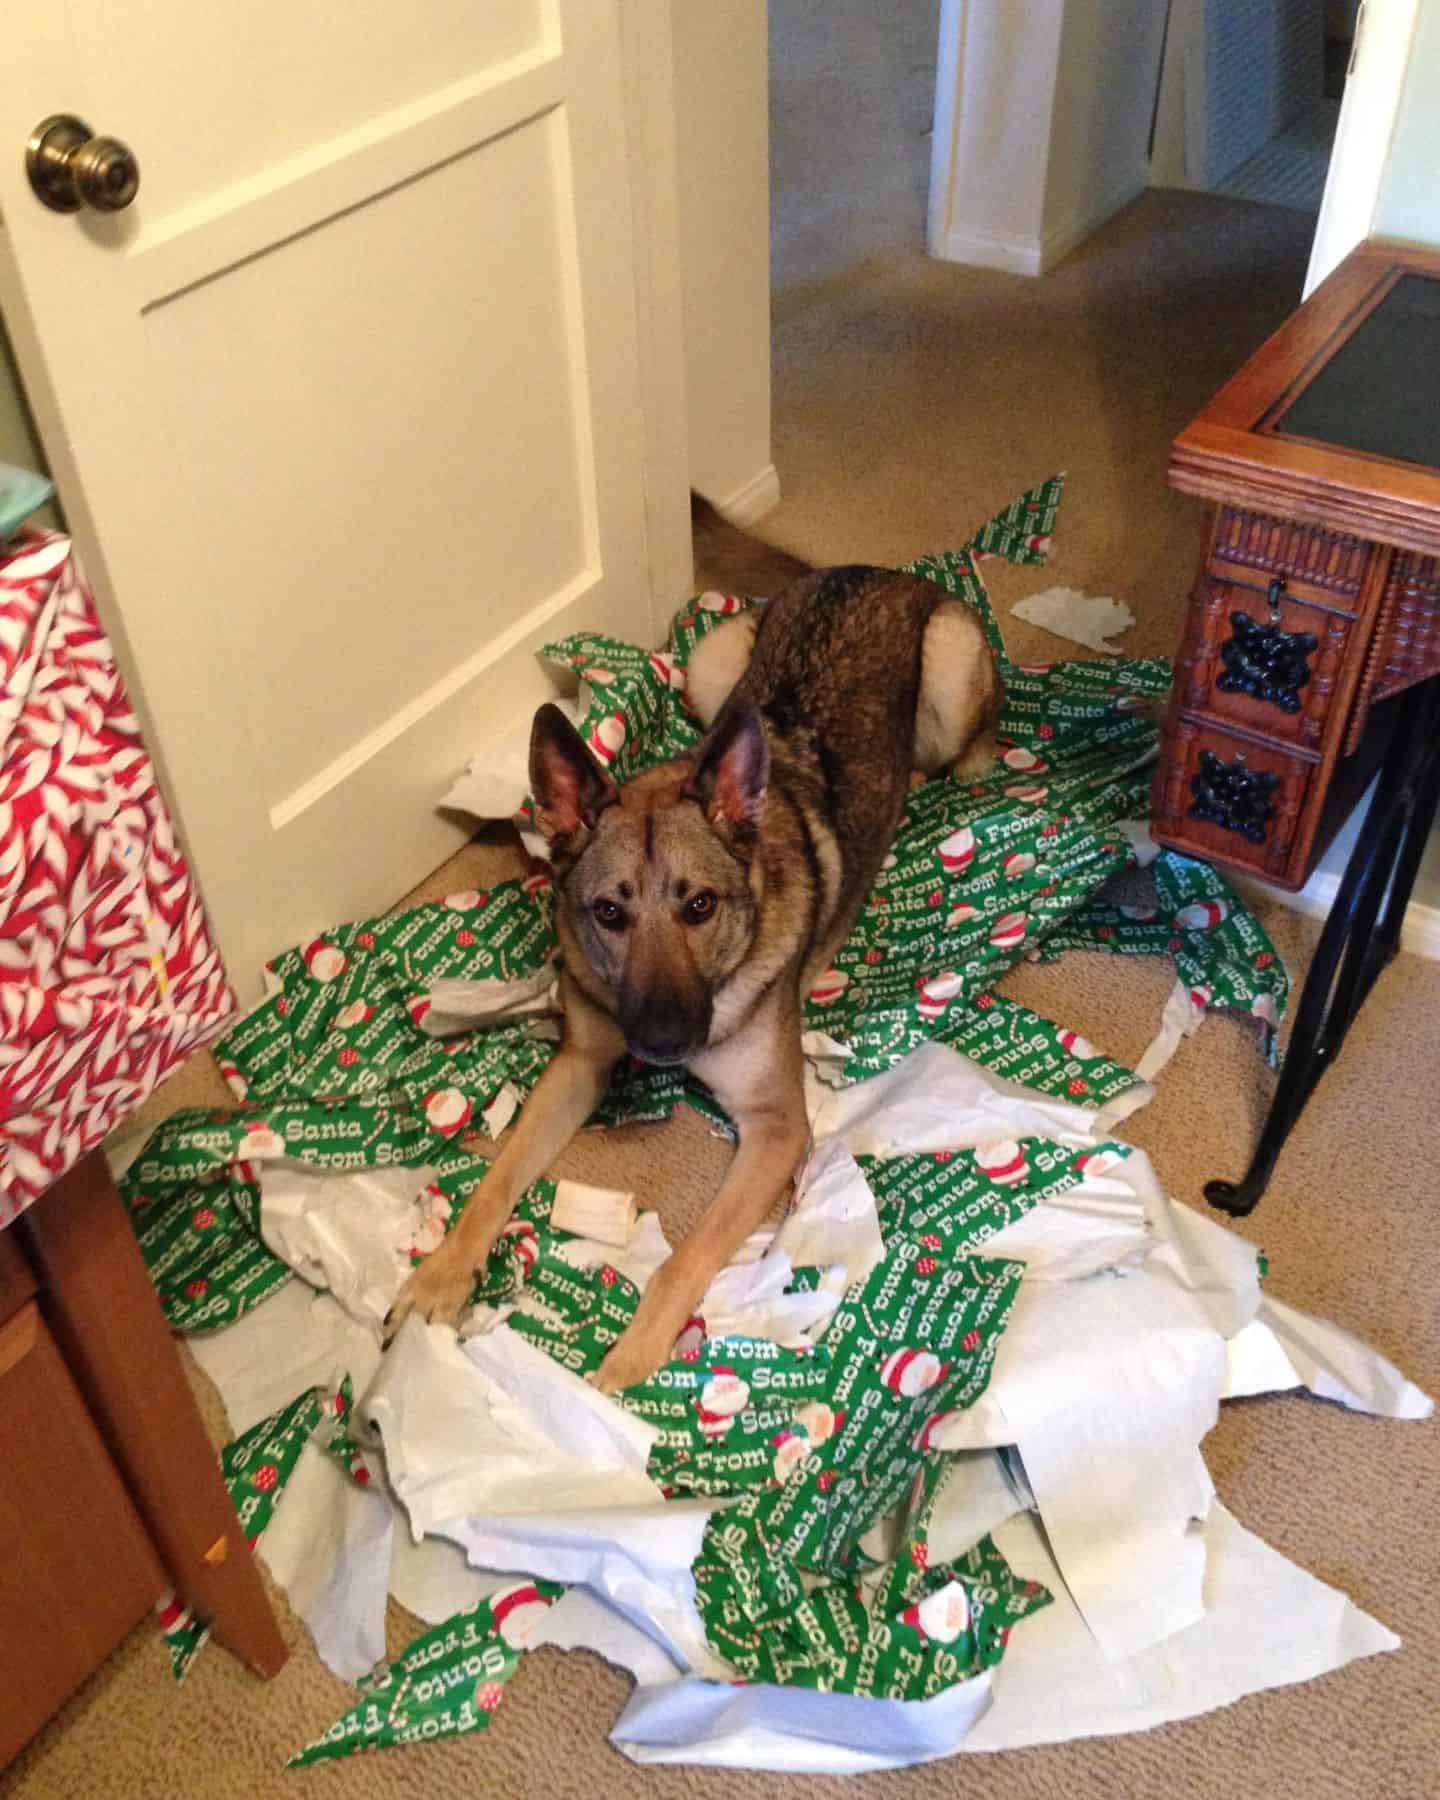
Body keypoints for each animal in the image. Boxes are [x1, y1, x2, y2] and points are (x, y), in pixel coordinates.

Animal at [388, 493, 1008, 1389]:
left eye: (700, 906)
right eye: (608, 913)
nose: (662, 1041)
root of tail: (865, 570)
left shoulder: (777, 1128)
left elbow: (685, 1259)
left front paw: (628, 1363)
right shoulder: (578, 1065)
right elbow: (498, 1178)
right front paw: (442, 1274)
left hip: (952, 680)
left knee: (965, 754)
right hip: (711, 673)